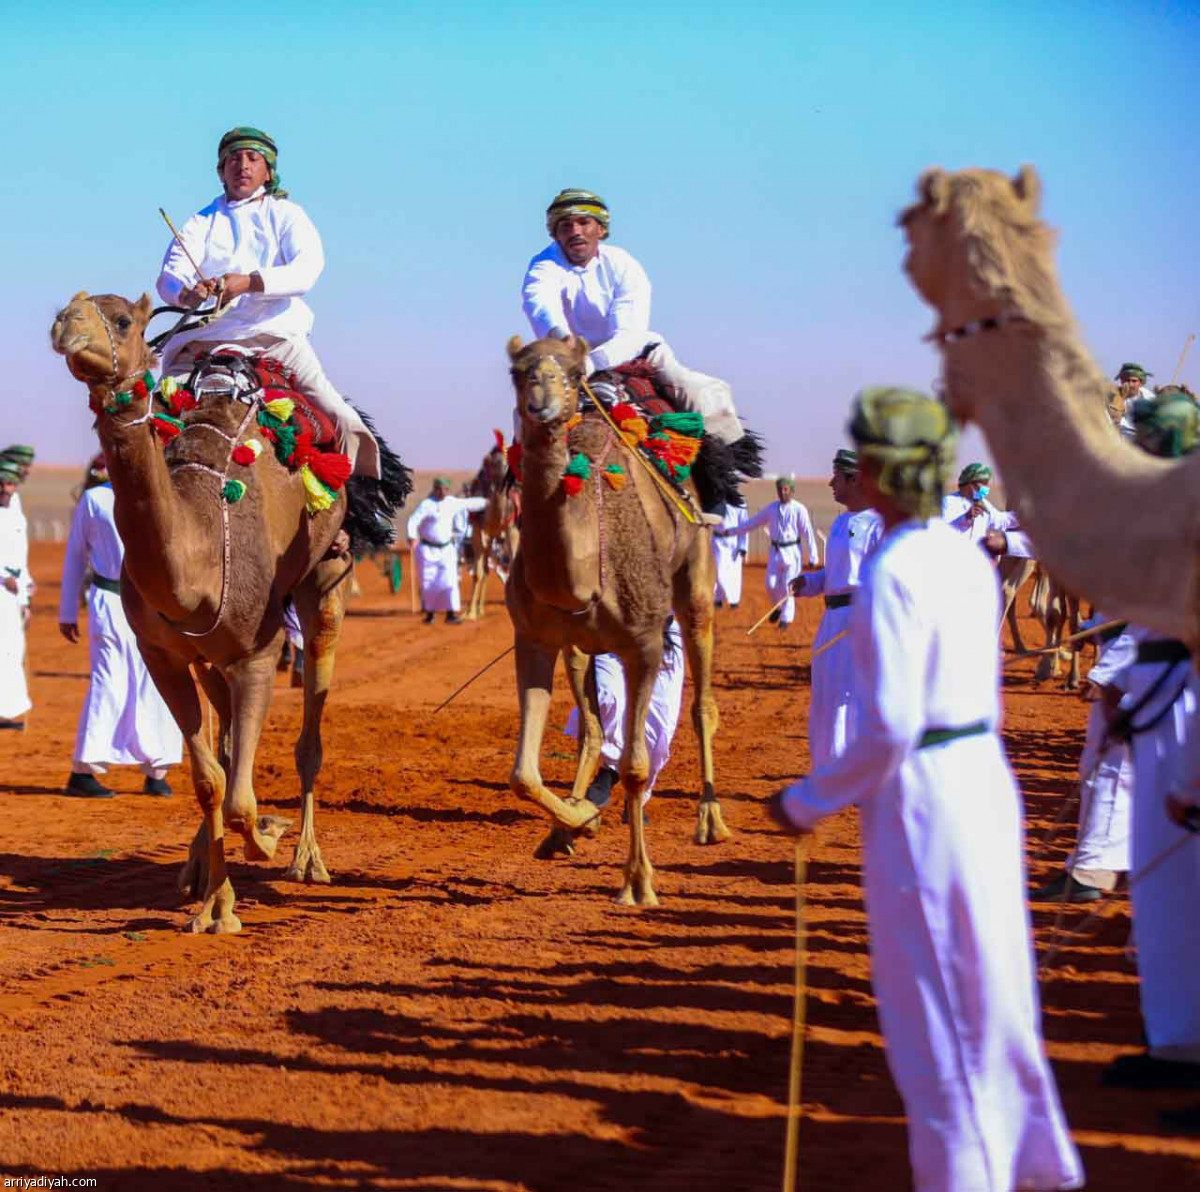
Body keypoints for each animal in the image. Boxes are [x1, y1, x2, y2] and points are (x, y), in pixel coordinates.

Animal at [51, 290, 410, 931]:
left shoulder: (259, 653)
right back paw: (198, 868)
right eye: (73, 304)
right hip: (209, 656)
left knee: (310, 734)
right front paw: (216, 905)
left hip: (324, 583)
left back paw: (307, 859)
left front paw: (266, 836)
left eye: (123, 320)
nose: (66, 326)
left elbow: (243, 800)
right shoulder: (164, 656)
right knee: (222, 755)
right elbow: (209, 781)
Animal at [463, 436, 520, 624]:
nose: (504, 483)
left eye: (509, 462)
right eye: (491, 463)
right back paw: (478, 610)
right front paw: (471, 614)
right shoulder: (478, 530)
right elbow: (478, 573)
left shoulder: (511, 528)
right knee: (485, 569)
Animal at [504, 333, 724, 902]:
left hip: (695, 580)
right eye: (518, 370)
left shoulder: (643, 643)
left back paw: (710, 819)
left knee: (701, 702)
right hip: (578, 647)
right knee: (592, 730)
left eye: (572, 372)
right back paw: (570, 823)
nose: (541, 403)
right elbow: (524, 775)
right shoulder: (533, 639)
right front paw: (576, 819)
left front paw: (639, 880)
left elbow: (636, 765)